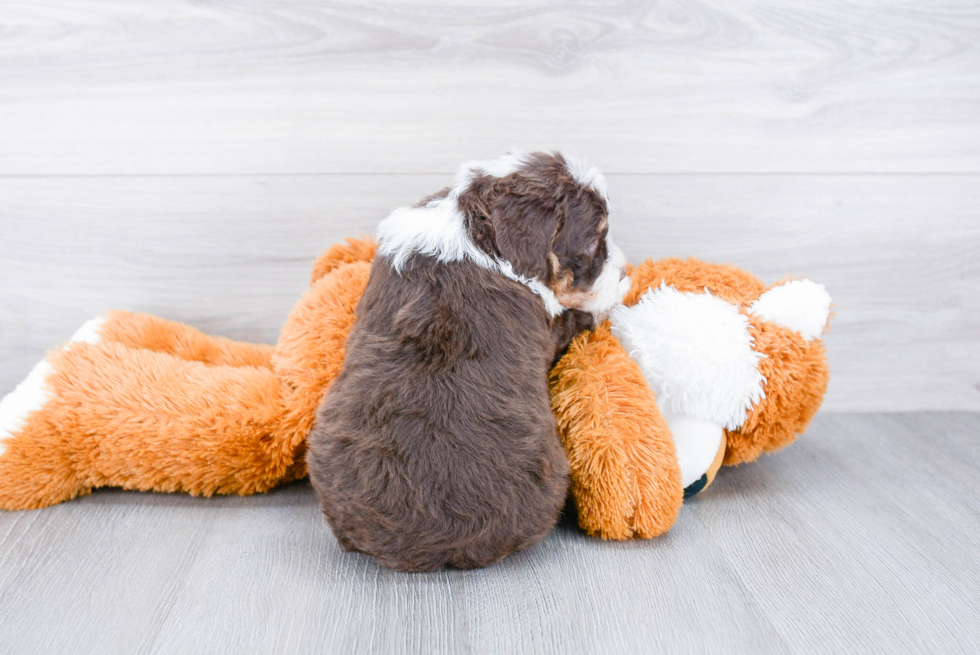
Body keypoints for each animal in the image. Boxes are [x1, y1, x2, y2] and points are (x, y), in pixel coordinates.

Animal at [308, 151, 628, 572]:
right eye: (593, 243)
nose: (624, 270)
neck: (475, 232)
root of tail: (431, 547)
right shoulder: (551, 326)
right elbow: (578, 315)